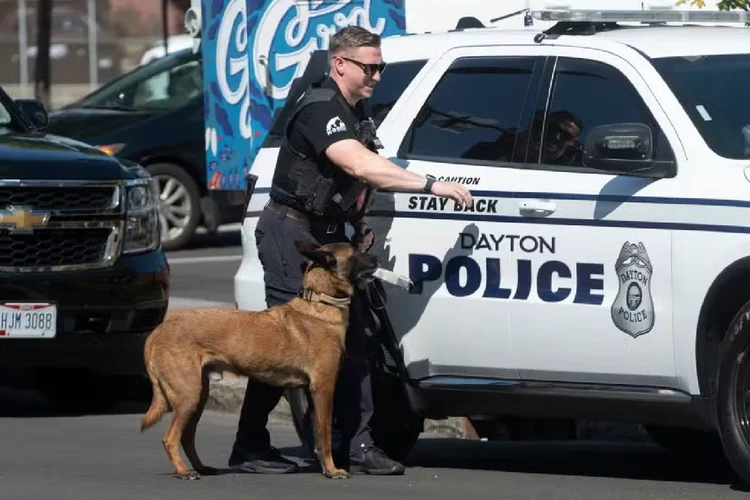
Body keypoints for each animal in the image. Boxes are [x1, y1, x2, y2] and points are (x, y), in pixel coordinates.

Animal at [140, 240, 378, 482]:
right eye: (355, 254)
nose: (376, 258)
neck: (320, 302)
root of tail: (156, 333)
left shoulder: (315, 393)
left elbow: (319, 435)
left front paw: (326, 465)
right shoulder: (323, 388)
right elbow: (326, 434)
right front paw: (332, 470)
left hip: (198, 396)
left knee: (187, 437)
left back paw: (200, 468)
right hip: (189, 395)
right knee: (170, 438)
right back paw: (183, 472)